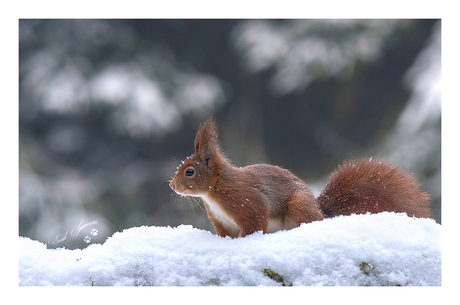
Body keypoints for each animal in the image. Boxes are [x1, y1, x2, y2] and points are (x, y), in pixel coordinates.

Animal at [170, 117, 432, 236]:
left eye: (189, 171)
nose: (172, 186)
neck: (215, 189)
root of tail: (320, 210)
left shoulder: (247, 203)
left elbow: (255, 223)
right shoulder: (221, 222)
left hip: (298, 205)